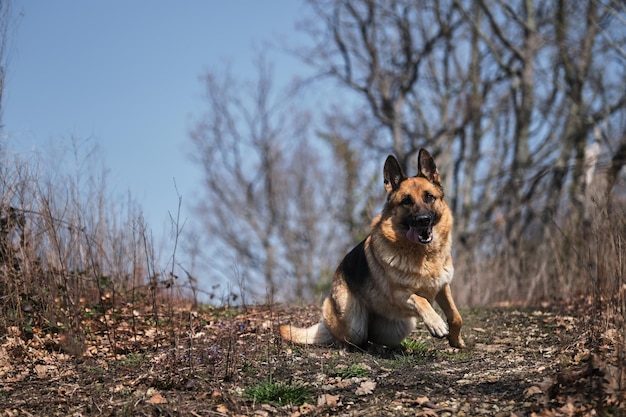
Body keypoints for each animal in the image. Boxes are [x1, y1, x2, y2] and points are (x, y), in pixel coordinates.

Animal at [280, 149, 464, 348]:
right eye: (406, 201)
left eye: (429, 197)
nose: (423, 220)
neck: (424, 255)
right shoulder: (399, 294)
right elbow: (421, 300)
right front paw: (436, 323)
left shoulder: (442, 287)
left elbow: (456, 316)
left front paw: (456, 341)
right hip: (353, 323)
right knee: (348, 336)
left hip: (403, 325)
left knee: (373, 337)